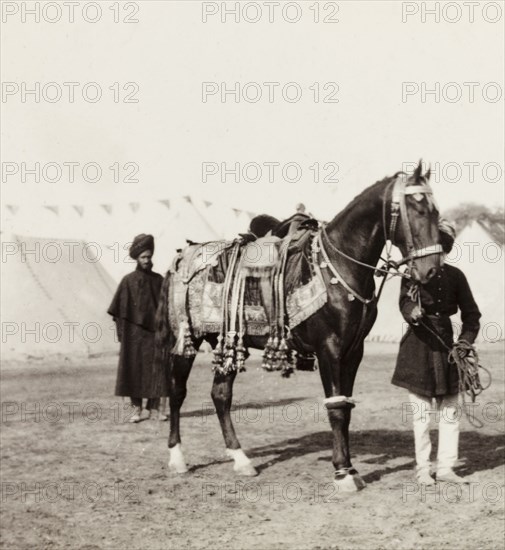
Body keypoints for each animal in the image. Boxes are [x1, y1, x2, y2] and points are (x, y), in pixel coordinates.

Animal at [154, 162, 440, 494]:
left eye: (435, 211)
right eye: (417, 209)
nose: (431, 270)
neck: (340, 266)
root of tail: (180, 258)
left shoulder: (353, 350)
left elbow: (346, 408)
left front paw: (350, 467)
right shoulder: (329, 348)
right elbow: (336, 408)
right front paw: (343, 472)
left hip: (227, 342)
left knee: (221, 395)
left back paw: (241, 460)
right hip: (186, 340)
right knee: (177, 393)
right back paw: (177, 458)